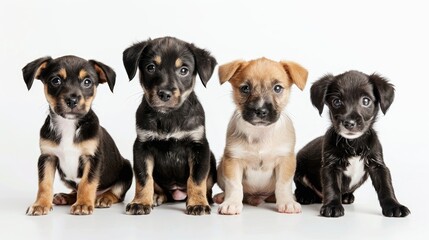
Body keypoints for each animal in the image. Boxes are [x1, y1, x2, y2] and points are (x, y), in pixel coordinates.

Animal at [21, 55, 131, 216]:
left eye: (87, 82)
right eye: (56, 80)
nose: (72, 100)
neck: (68, 125)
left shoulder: (92, 158)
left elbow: (87, 183)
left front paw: (83, 204)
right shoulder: (47, 157)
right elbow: (44, 183)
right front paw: (41, 204)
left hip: (127, 169)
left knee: (117, 193)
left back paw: (104, 198)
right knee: (75, 190)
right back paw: (66, 197)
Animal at [122, 36, 217, 215]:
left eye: (184, 70)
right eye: (151, 67)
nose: (164, 94)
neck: (168, 117)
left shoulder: (199, 147)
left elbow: (196, 179)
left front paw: (198, 203)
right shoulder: (142, 146)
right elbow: (144, 178)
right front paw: (140, 202)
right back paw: (156, 197)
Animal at [216, 57, 306, 215]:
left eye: (277, 88)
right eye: (245, 88)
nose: (260, 111)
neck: (260, 133)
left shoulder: (285, 160)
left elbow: (283, 184)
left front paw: (287, 202)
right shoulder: (233, 160)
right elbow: (234, 185)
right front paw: (231, 203)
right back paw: (222, 196)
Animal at [292, 70, 410, 218]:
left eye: (366, 101)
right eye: (336, 102)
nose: (349, 123)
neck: (354, 144)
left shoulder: (378, 166)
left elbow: (386, 187)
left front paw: (394, 206)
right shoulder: (330, 166)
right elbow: (332, 187)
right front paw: (332, 206)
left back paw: (346, 197)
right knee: (299, 185)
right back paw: (305, 195)